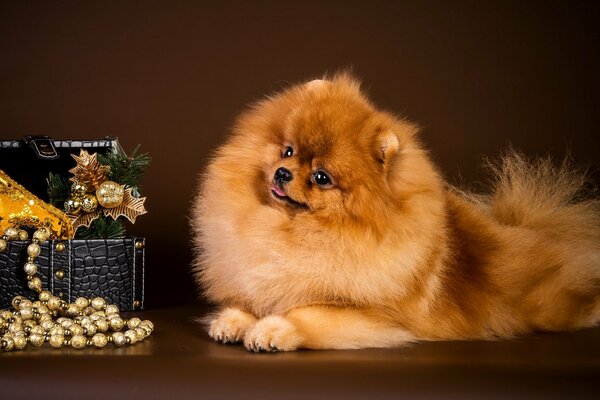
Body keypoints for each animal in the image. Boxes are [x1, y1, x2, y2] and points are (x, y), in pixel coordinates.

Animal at [191, 73, 600, 352]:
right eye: (287, 151)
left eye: (322, 177)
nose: (281, 173)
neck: (295, 230)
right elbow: (251, 297)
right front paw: (234, 319)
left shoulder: (374, 314)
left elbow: (307, 313)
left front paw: (271, 329)